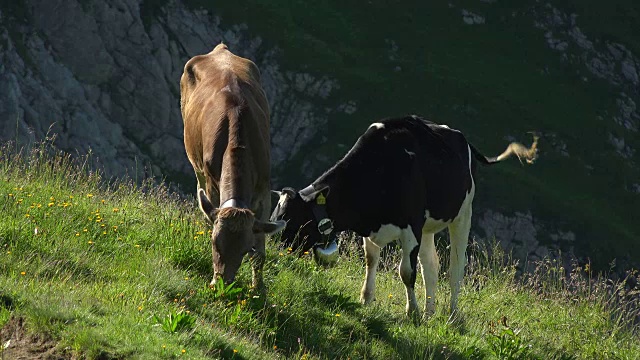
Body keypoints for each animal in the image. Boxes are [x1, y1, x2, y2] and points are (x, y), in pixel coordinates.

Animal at [180, 43, 284, 290]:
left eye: (245, 249)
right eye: (214, 242)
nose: (221, 283)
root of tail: (220, 50)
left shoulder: (264, 188)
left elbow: (260, 253)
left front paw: (258, 289)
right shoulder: (211, 182)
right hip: (197, 166)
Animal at [268, 115, 536, 318]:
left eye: (291, 221)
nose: (273, 253)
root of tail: (461, 137)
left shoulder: (410, 227)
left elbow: (406, 272)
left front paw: (412, 312)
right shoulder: (374, 227)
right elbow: (371, 260)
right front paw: (366, 299)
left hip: (463, 214)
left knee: (456, 268)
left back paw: (451, 315)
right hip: (427, 227)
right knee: (431, 265)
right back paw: (430, 312)